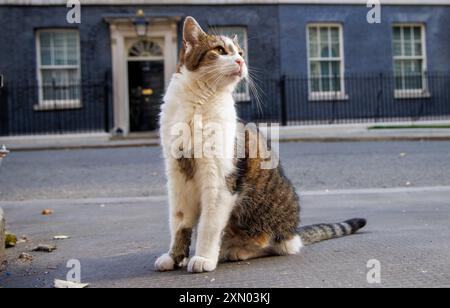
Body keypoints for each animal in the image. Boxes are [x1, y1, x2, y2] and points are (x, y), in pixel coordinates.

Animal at [156, 16, 366, 274]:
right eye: (220, 50)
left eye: (241, 52)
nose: (240, 61)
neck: (198, 105)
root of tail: (294, 232)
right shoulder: (177, 177)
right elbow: (179, 223)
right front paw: (174, 257)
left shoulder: (219, 180)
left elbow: (209, 225)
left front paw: (203, 257)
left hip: (266, 220)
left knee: (273, 245)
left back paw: (234, 251)